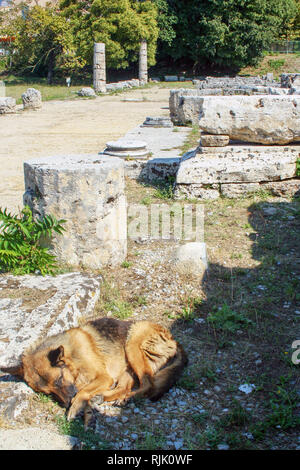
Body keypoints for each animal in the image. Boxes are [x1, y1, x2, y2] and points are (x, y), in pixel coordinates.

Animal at [0, 318, 188, 420]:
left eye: (59, 380)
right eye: (48, 393)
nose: (66, 403)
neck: (73, 357)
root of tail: (173, 339)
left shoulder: (104, 377)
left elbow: (82, 391)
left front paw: (75, 407)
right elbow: (83, 390)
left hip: (132, 343)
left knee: (149, 384)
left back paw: (128, 398)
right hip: (126, 369)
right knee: (124, 387)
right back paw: (106, 397)